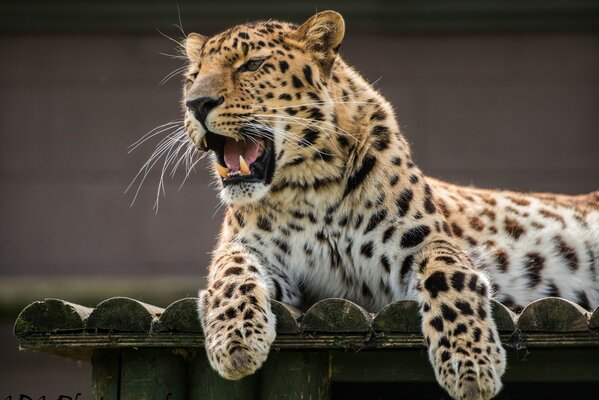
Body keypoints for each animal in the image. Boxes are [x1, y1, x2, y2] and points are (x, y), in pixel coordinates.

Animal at [178, 10, 599, 400]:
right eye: (193, 76)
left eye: (252, 64)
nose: (196, 104)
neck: (310, 189)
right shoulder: (261, 255)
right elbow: (230, 271)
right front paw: (235, 341)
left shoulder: (425, 242)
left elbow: (448, 278)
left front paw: (470, 364)